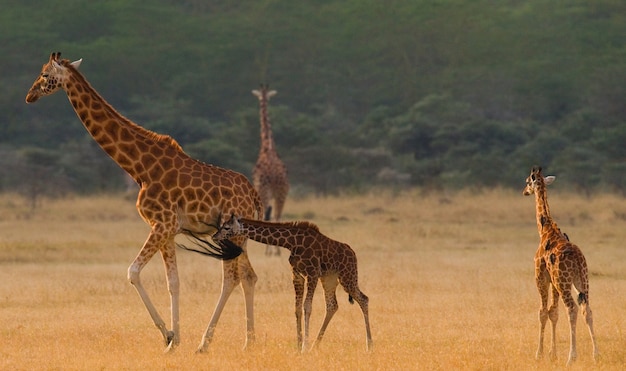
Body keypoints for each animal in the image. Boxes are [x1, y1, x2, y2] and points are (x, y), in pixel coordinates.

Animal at [24, 52, 260, 354]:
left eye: (44, 74)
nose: (30, 95)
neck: (140, 168)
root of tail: (253, 193)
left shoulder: (162, 224)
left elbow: (132, 272)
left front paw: (167, 335)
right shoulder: (169, 230)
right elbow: (174, 282)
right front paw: (174, 341)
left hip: (231, 235)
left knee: (231, 278)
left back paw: (205, 343)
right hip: (240, 236)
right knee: (248, 276)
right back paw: (248, 342)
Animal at [212, 214, 372, 354]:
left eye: (226, 227)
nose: (214, 237)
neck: (291, 242)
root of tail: (353, 253)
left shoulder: (312, 273)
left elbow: (307, 307)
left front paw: (304, 347)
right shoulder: (297, 275)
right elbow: (297, 308)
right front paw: (299, 345)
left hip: (348, 276)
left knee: (364, 299)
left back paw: (369, 345)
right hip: (329, 279)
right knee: (332, 305)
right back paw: (315, 345)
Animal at [520, 167, 596, 368]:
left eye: (528, 181)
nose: (524, 192)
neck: (545, 230)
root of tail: (577, 259)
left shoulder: (541, 277)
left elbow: (542, 312)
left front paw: (539, 354)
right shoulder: (553, 281)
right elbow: (553, 312)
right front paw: (552, 354)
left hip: (564, 282)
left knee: (572, 309)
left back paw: (572, 357)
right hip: (582, 281)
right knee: (587, 310)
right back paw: (596, 355)